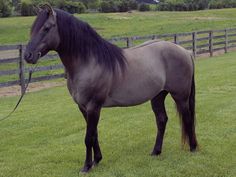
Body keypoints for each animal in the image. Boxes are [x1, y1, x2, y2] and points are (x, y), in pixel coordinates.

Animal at [24, 4, 197, 172]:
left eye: (46, 28)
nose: (28, 55)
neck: (89, 62)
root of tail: (185, 51)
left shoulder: (94, 106)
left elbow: (88, 137)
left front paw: (86, 166)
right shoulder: (83, 108)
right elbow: (94, 134)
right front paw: (96, 160)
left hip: (180, 96)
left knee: (188, 118)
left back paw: (193, 148)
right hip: (158, 96)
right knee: (161, 120)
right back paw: (156, 151)